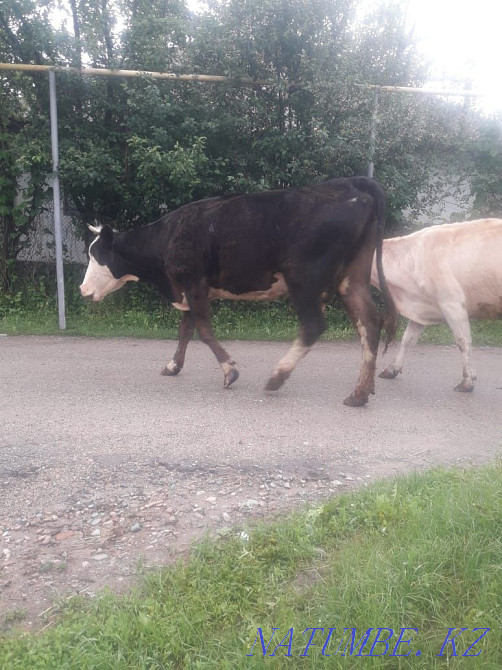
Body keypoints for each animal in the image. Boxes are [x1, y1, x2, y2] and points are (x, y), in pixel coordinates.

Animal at [80, 177, 397, 406]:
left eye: (96, 254)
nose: (82, 289)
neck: (167, 238)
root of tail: (348, 184)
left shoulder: (193, 283)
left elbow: (203, 330)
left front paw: (229, 370)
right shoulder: (190, 289)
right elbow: (185, 329)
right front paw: (173, 365)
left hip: (304, 277)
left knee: (313, 326)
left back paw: (278, 376)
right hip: (351, 278)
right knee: (369, 321)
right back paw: (360, 392)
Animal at [370, 218, 502, 392]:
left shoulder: (452, 303)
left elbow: (463, 341)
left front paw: (467, 382)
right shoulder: (420, 308)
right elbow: (407, 340)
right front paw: (392, 370)